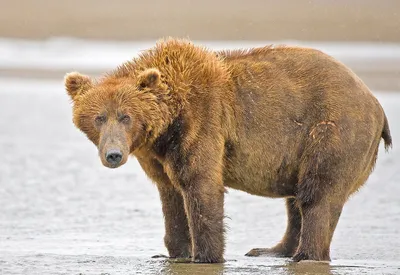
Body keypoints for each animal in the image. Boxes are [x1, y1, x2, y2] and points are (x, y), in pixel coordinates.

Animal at [65, 37, 390, 264]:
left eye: (126, 116)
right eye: (98, 117)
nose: (113, 155)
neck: (166, 125)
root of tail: (375, 101)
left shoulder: (203, 122)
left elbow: (201, 186)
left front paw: (204, 256)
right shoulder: (158, 155)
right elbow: (171, 196)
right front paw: (175, 253)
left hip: (331, 129)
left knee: (318, 193)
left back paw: (306, 254)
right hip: (299, 149)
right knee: (296, 196)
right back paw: (273, 250)